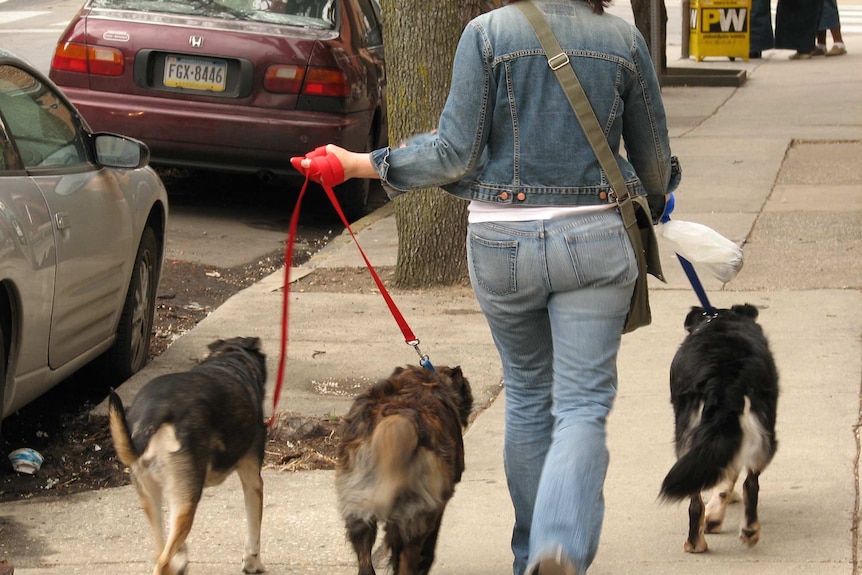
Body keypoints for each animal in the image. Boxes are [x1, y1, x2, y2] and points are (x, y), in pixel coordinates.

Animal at [109, 338, 268, 575]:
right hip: (186, 504)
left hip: (152, 498)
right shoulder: (253, 482)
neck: (230, 359)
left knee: (160, 550)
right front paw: (253, 563)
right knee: (162, 562)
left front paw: (182, 556)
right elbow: (254, 532)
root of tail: (155, 414)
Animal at [336, 364, 472, 575]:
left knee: (366, 561)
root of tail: (396, 418)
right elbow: (428, 550)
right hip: (417, 514)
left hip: (358, 506)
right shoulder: (440, 504)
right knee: (408, 557)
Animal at [660, 306, 784, 552]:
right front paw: (716, 515)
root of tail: (723, 377)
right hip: (760, 432)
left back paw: (696, 543)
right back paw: (749, 531)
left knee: (696, 500)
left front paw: (714, 516)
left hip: (689, 435)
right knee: (750, 484)